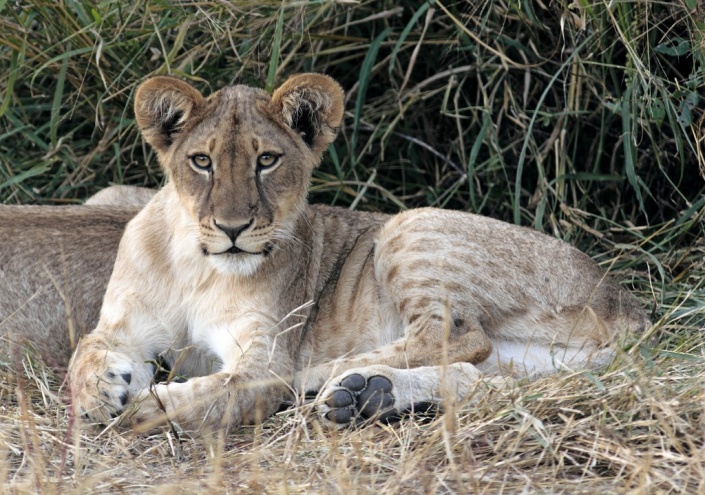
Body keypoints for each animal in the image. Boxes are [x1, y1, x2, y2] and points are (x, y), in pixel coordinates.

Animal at [61, 73, 650, 432]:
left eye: (267, 160)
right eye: (201, 161)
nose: (232, 228)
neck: (196, 265)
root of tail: (628, 304)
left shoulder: (263, 352)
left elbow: (216, 393)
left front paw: (145, 403)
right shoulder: (123, 324)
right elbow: (84, 351)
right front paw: (97, 394)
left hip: (410, 225)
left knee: (455, 336)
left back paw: (325, 381)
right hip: (525, 360)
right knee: (478, 378)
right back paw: (366, 395)